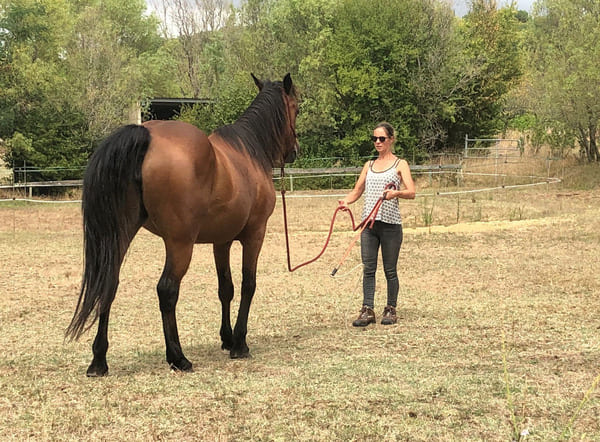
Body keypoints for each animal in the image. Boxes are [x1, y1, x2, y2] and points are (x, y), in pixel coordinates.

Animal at [66, 72, 300, 376]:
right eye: (297, 108)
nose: (294, 150)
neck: (249, 153)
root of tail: (145, 135)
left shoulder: (221, 241)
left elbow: (226, 288)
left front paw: (227, 338)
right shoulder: (254, 235)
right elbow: (248, 284)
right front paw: (240, 344)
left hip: (120, 236)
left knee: (109, 284)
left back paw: (99, 361)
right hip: (180, 244)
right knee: (167, 290)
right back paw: (178, 357)